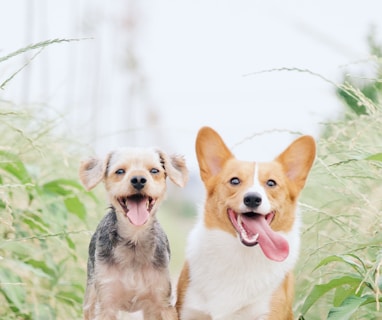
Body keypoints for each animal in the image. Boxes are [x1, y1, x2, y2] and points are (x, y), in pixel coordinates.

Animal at [80, 148, 189, 320]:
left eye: (154, 171)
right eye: (119, 171)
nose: (138, 179)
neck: (134, 240)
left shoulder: (162, 303)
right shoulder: (106, 301)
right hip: (90, 298)